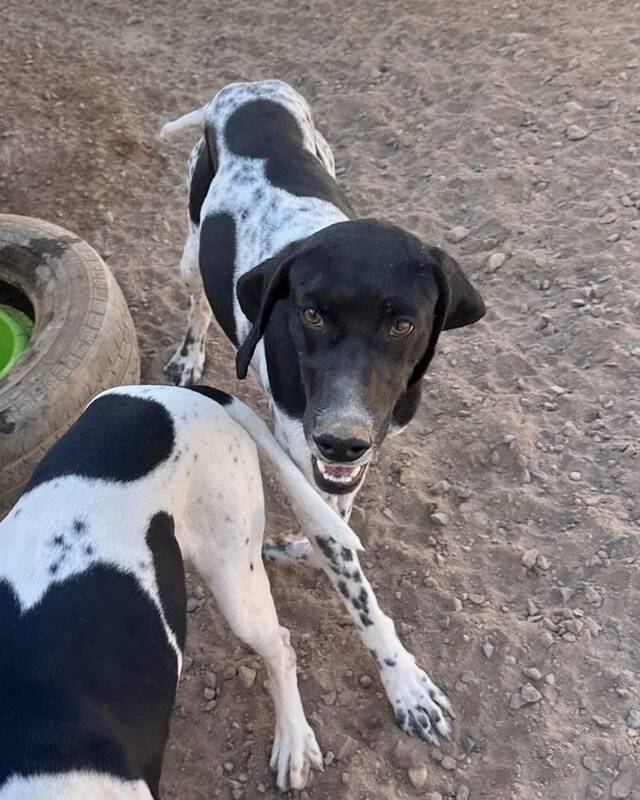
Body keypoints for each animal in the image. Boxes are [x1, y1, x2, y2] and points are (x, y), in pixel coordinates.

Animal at [161, 79, 483, 742]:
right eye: (310, 313)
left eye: (403, 324)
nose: (340, 439)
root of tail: (247, 87)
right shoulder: (307, 453)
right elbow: (360, 593)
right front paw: (406, 685)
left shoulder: (354, 456)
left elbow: (337, 526)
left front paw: (309, 548)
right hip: (190, 245)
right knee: (196, 299)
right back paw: (188, 355)